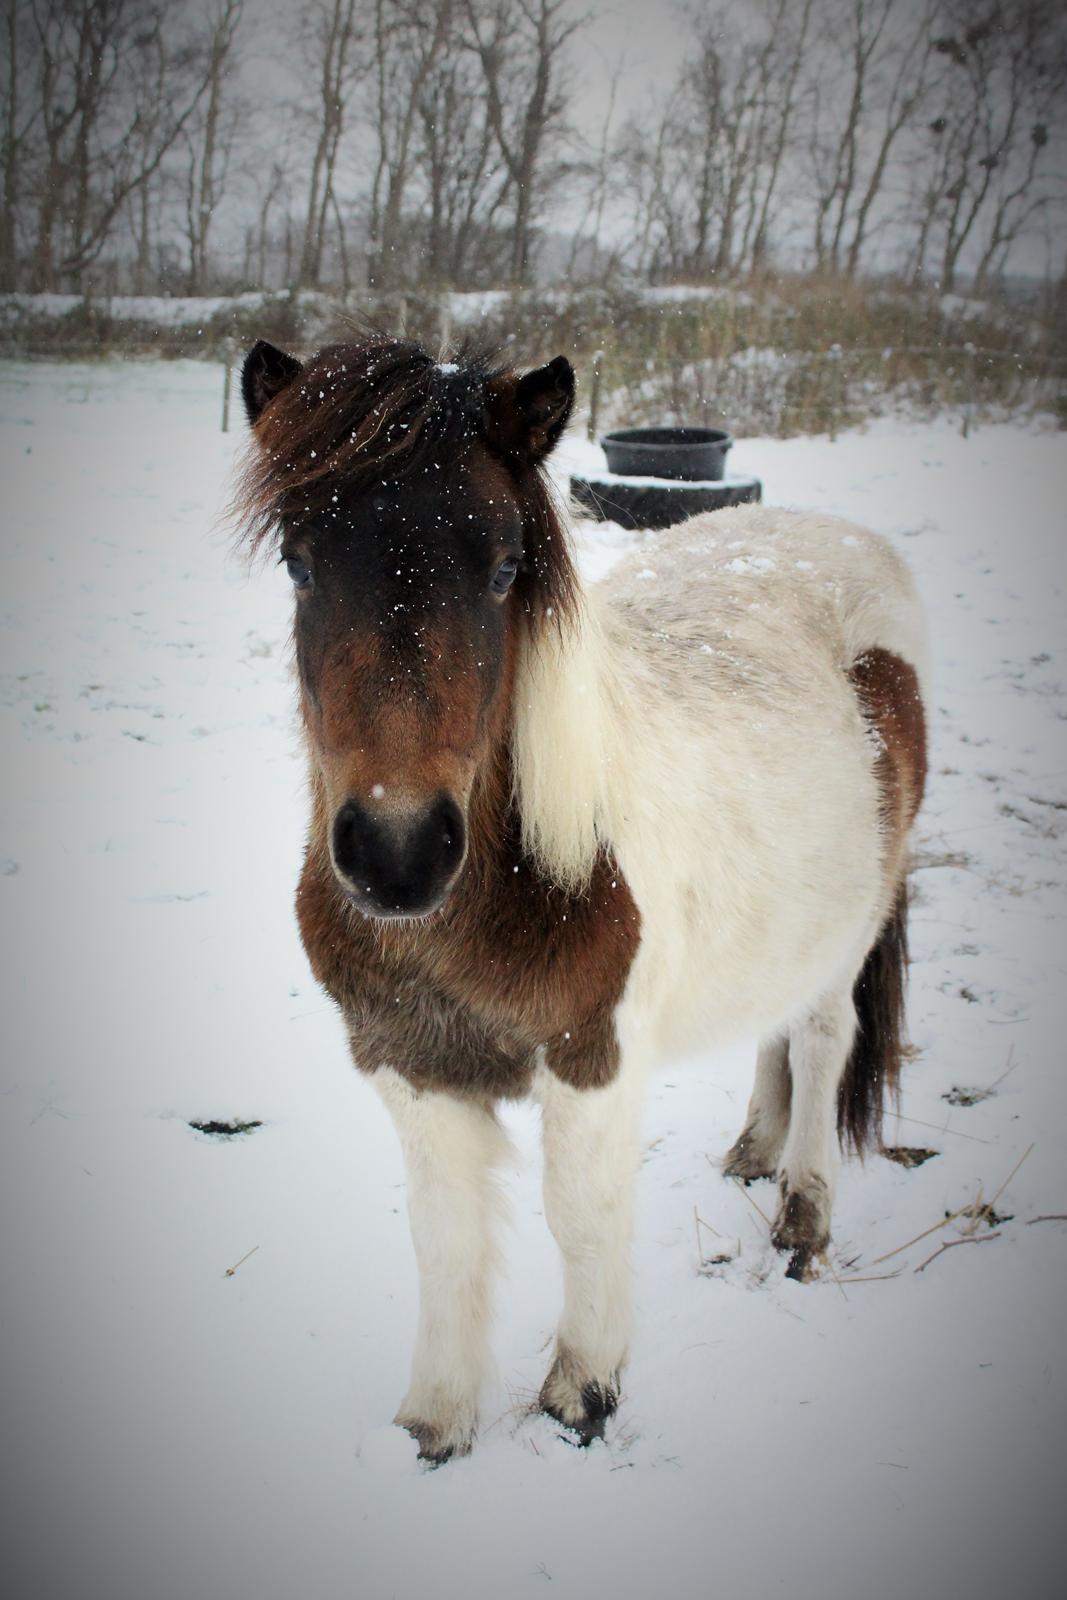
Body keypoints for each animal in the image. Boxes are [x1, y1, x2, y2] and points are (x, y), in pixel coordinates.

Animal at [233, 337, 927, 1465]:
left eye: (505, 567)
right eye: (299, 563)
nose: (396, 852)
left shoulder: (593, 1058)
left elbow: (580, 1215)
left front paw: (581, 1396)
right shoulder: (409, 1064)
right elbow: (445, 1239)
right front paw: (431, 1428)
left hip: (849, 926)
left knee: (824, 1039)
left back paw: (802, 1214)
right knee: (775, 1027)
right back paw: (753, 1149)